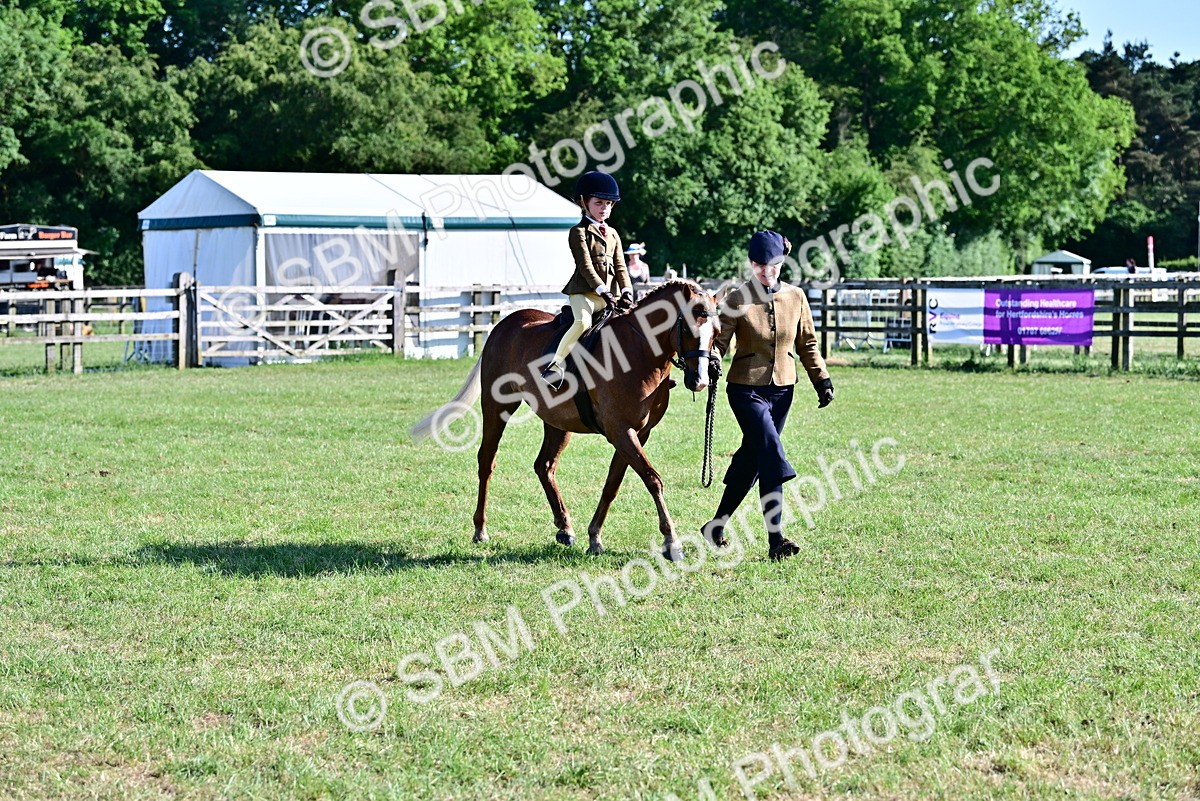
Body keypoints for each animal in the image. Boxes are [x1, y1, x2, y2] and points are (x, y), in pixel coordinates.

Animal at [412, 280, 719, 558]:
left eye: (716, 332)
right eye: (689, 329)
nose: (701, 380)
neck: (639, 351)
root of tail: (503, 325)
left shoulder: (638, 433)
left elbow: (613, 483)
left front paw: (594, 537)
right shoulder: (621, 431)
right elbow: (652, 479)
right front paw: (671, 541)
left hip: (557, 422)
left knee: (544, 466)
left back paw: (564, 528)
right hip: (497, 406)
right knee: (487, 461)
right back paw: (480, 529)